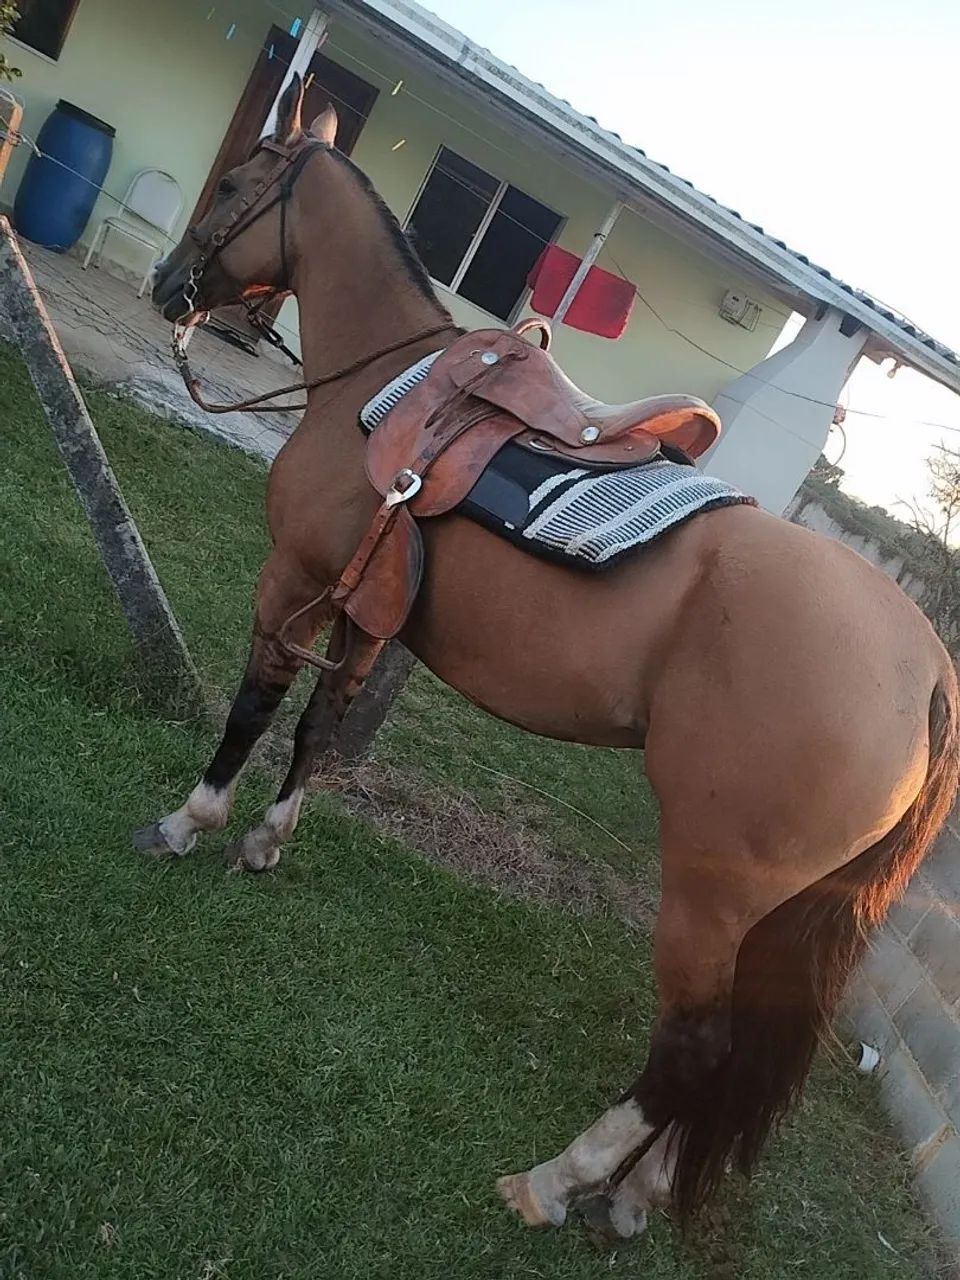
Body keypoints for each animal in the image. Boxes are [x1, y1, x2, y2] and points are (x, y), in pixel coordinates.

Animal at [145, 75, 959, 1238]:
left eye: (233, 187)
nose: (169, 286)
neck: (390, 385)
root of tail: (926, 665)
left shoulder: (292, 580)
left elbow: (255, 707)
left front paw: (191, 821)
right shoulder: (367, 615)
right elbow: (318, 731)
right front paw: (266, 841)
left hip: (710, 893)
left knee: (694, 1047)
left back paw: (557, 1180)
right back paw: (641, 1190)